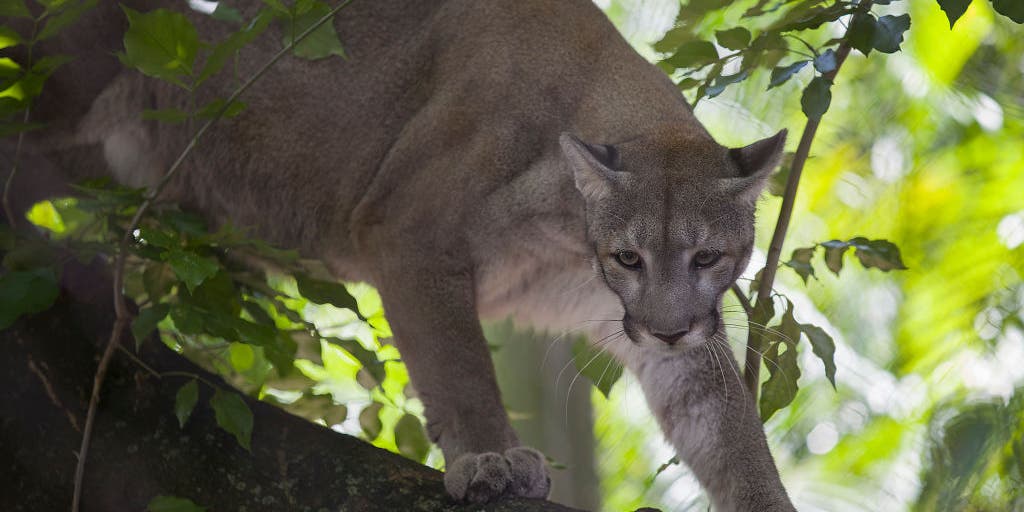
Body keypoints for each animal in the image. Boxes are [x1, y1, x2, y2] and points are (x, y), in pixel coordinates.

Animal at [18, 0, 798, 509]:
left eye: (709, 257)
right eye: (629, 257)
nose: (667, 330)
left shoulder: (655, 325)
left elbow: (725, 430)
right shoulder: (410, 232)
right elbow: (459, 365)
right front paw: (488, 458)